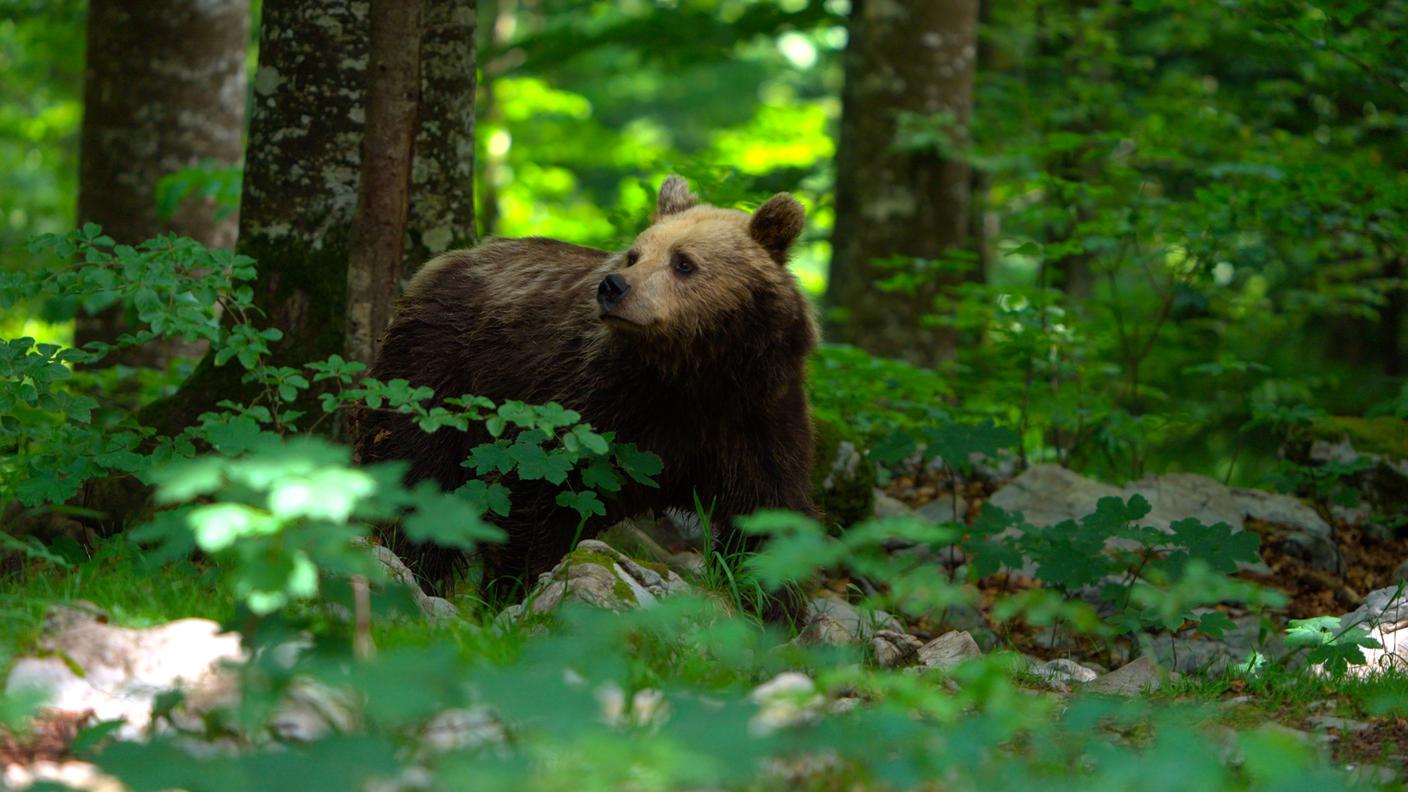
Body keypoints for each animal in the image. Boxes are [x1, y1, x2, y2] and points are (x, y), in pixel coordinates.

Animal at [357, 175, 822, 600]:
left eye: (684, 262)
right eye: (635, 254)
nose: (614, 286)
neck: (691, 375)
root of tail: (440, 264)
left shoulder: (757, 416)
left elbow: (768, 515)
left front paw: (772, 605)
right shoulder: (594, 400)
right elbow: (547, 495)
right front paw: (517, 587)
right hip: (437, 373)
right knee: (415, 471)